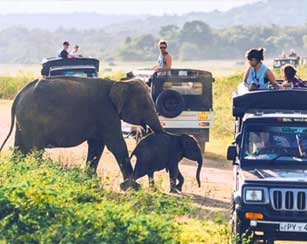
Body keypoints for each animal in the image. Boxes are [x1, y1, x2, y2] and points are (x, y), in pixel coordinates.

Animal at [0, 77, 164, 188]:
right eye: (145, 105)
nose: (144, 130)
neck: (119, 82)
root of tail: (19, 95)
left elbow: (97, 146)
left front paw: (91, 181)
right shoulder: (106, 113)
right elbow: (116, 145)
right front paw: (133, 187)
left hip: (24, 121)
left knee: (19, 148)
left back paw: (17, 174)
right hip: (33, 120)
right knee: (35, 150)